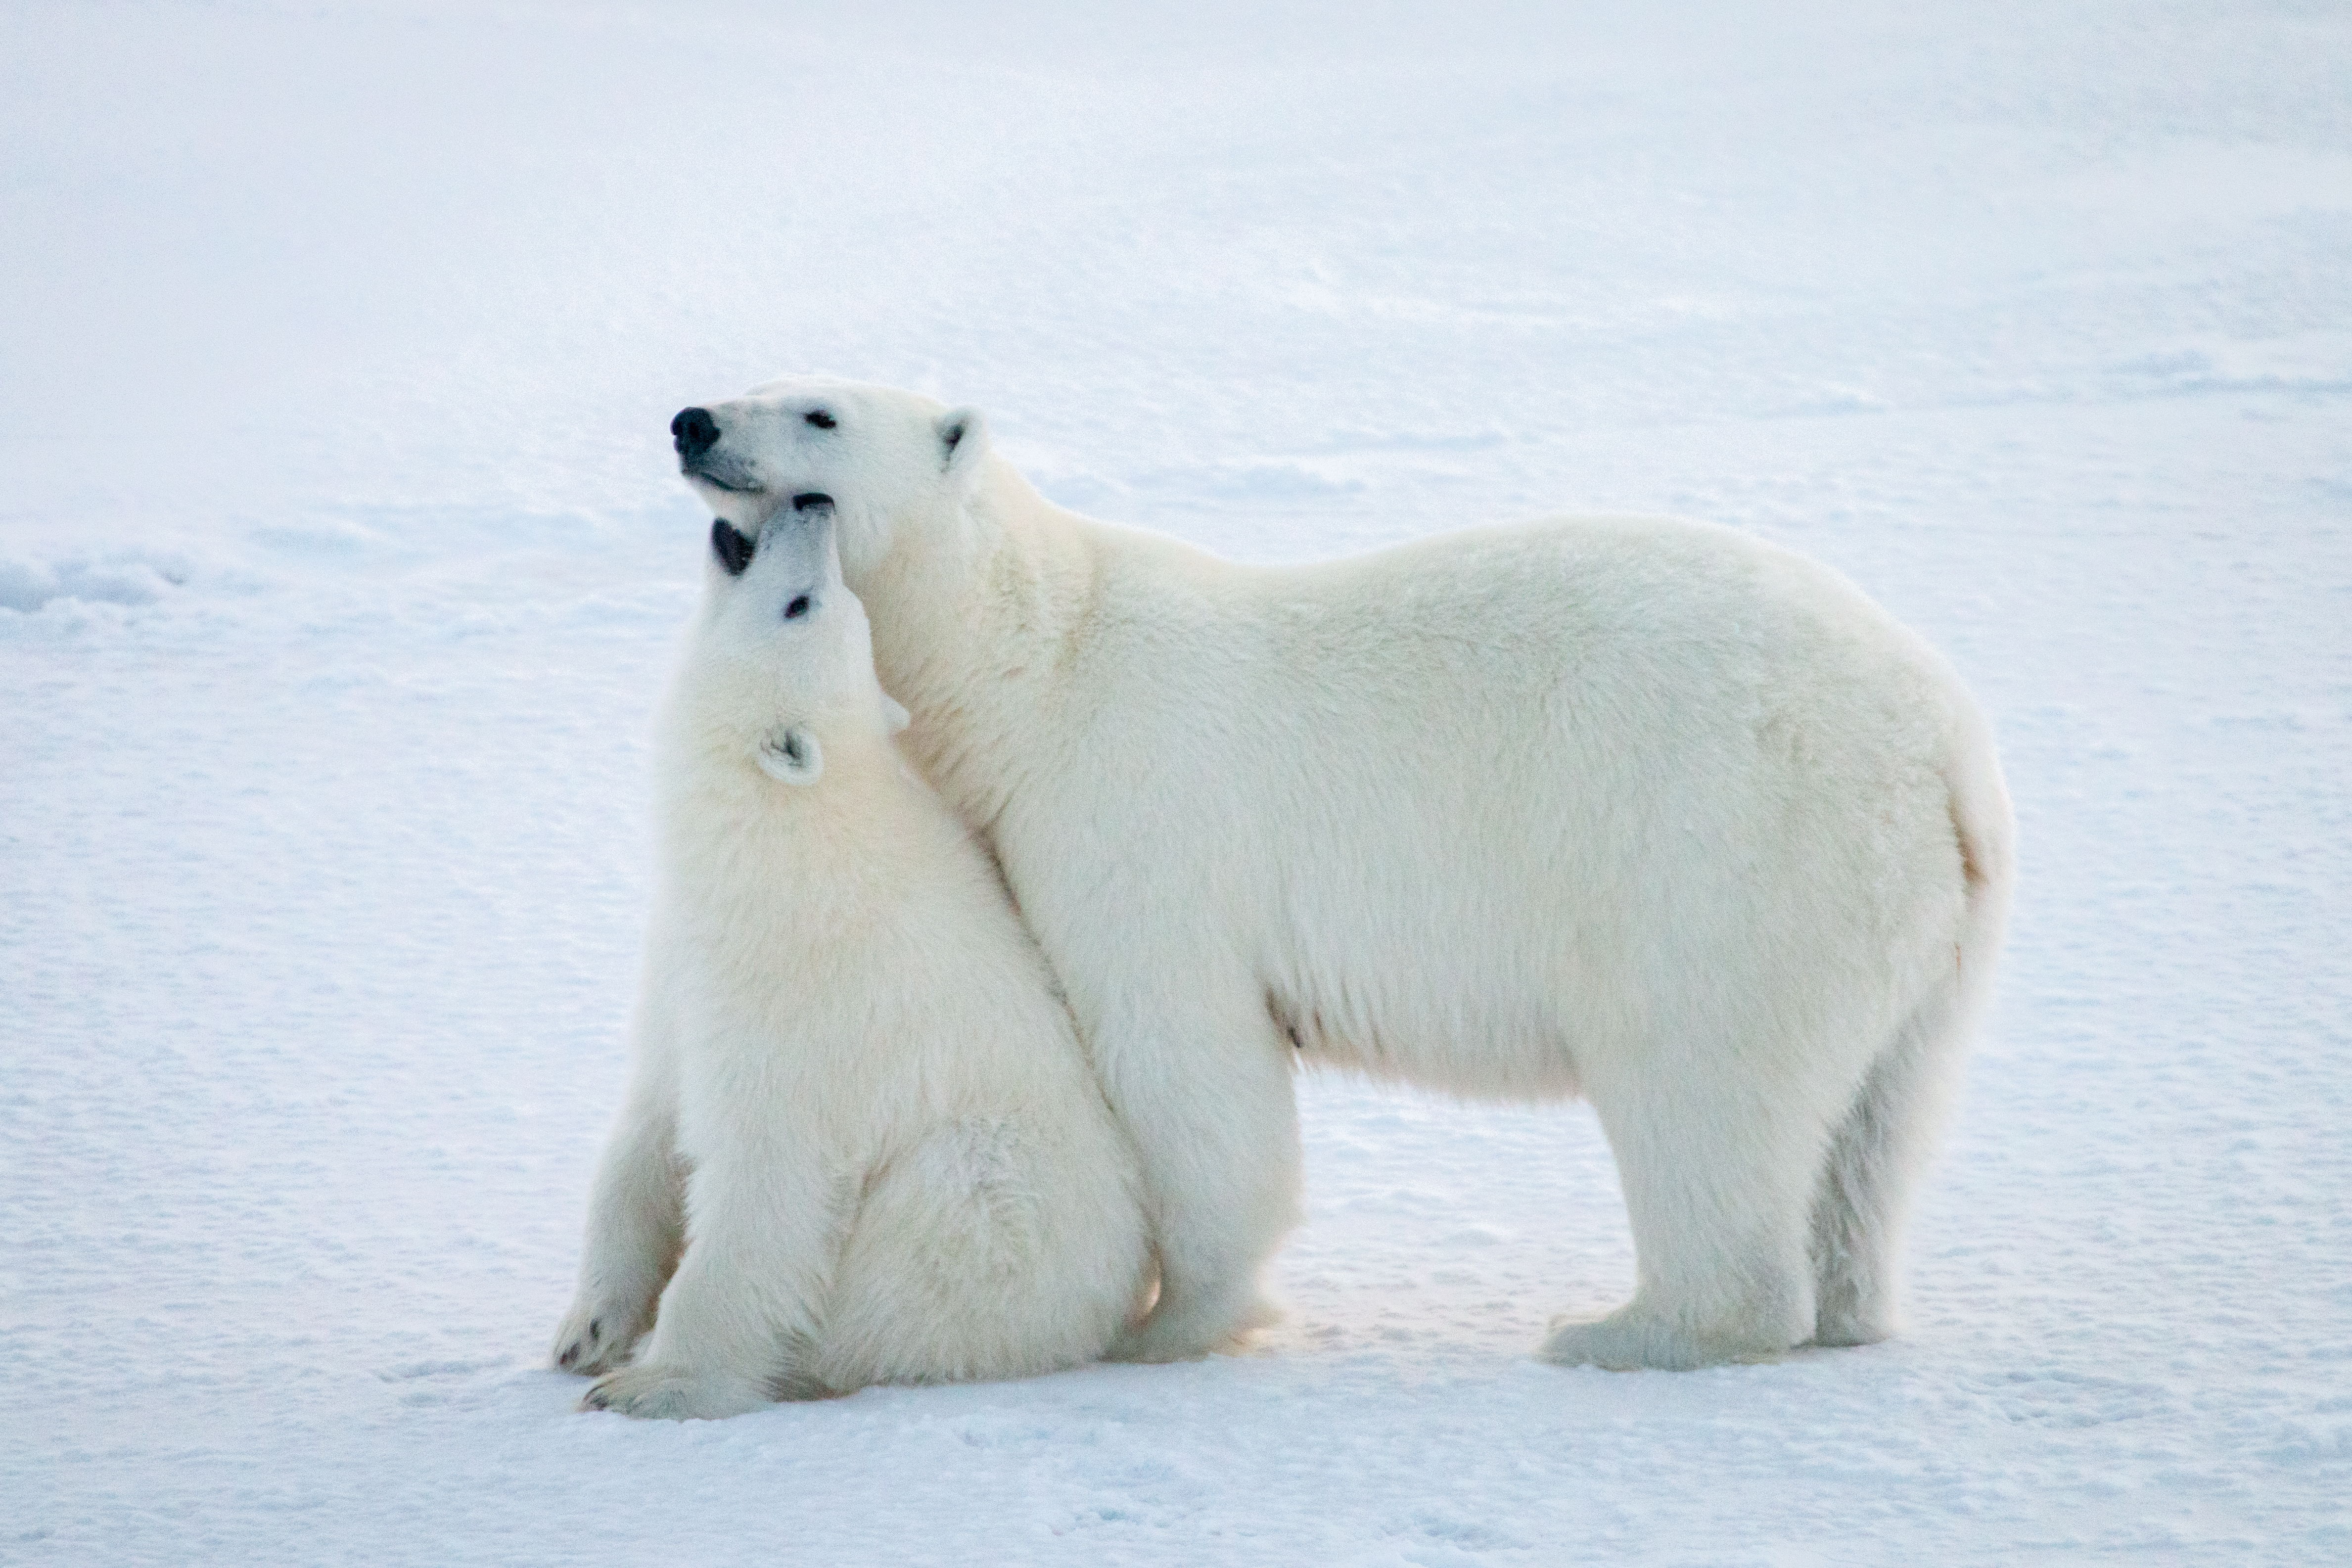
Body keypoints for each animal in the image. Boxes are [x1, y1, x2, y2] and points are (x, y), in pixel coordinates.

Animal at [668, 380, 2023, 1373]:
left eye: (816, 412)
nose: (692, 423)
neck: (1029, 663)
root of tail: (1945, 743)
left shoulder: (1135, 818)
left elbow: (1189, 1064)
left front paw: (1169, 1324)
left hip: (1730, 858)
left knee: (1697, 1079)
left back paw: (1626, 1328)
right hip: (1914, 921)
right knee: (1875, 1125)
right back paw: (1845, 1301)